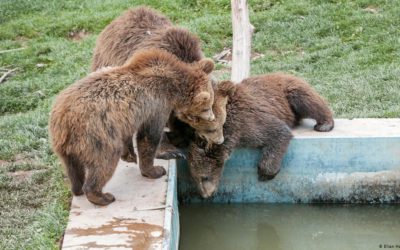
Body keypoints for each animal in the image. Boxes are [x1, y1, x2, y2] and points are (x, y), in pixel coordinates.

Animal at [49, 48, 216, 205]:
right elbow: (149, 136)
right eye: (207, 107)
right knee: (104, 160)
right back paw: (102, 196)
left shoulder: (124, 119)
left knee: (73, 168)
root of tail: (62, 118)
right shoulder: (156, 104)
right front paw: (156, 169)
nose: (212, 117)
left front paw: (130, 155)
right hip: (95, 133)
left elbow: (130, 136)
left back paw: (77, 188)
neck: (173, 85)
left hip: (66, 145)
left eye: (210, 103)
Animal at [184, 73, 334, 198]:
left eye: (203, 177)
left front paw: (264, 174)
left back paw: (324, 124)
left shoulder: (246, 123)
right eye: (194, 179)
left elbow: (278, 132)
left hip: (289, 93)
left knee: (309, 101)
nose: (205, 195)